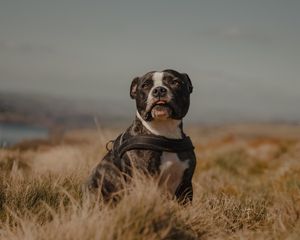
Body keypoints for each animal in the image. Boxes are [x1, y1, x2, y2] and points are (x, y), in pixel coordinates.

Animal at [85, 69, 197, 204]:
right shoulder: (142, 180)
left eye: (175, 82)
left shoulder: (186, 185)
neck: (164, 133)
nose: (159, 90)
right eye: (145, 85)